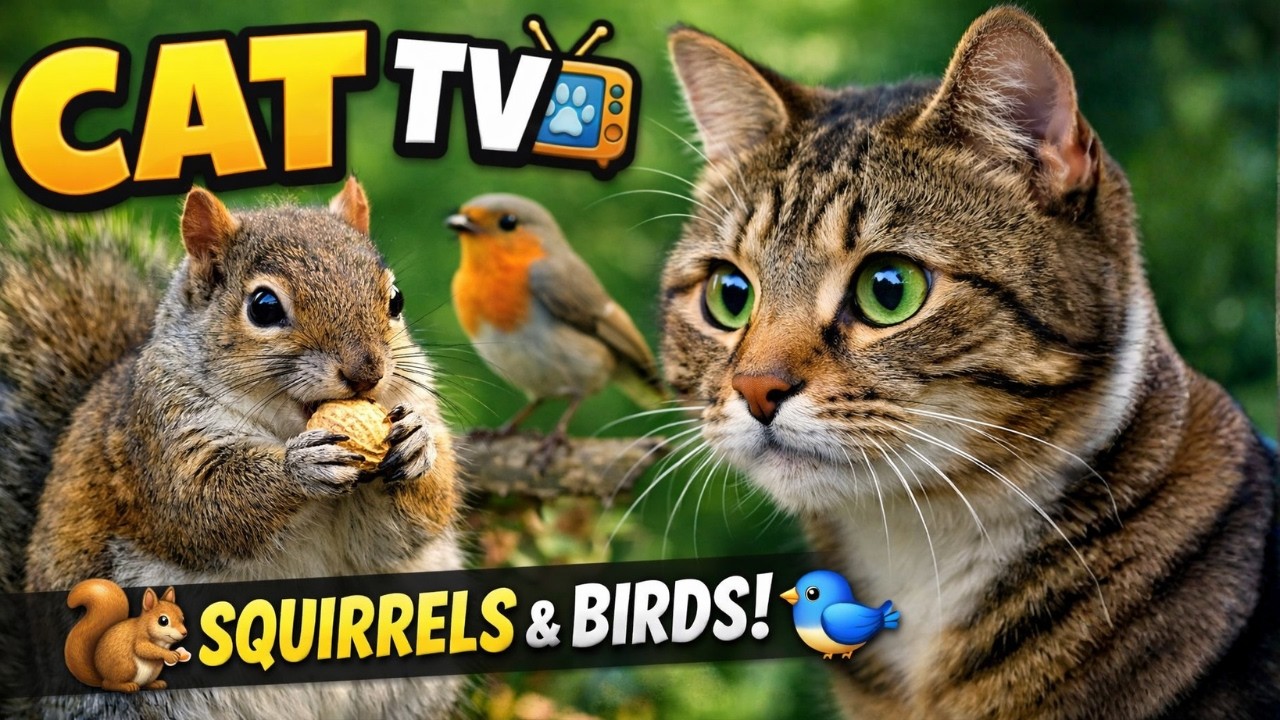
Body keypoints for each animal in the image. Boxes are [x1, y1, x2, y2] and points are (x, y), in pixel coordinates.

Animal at [0, 179, 465, 718]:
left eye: (395, 298)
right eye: (264, 307)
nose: (367, 372)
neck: (286, 426)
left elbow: (399, 532)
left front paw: (417, 448)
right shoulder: (158, 440)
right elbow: (204, 506)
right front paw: (301, 467)